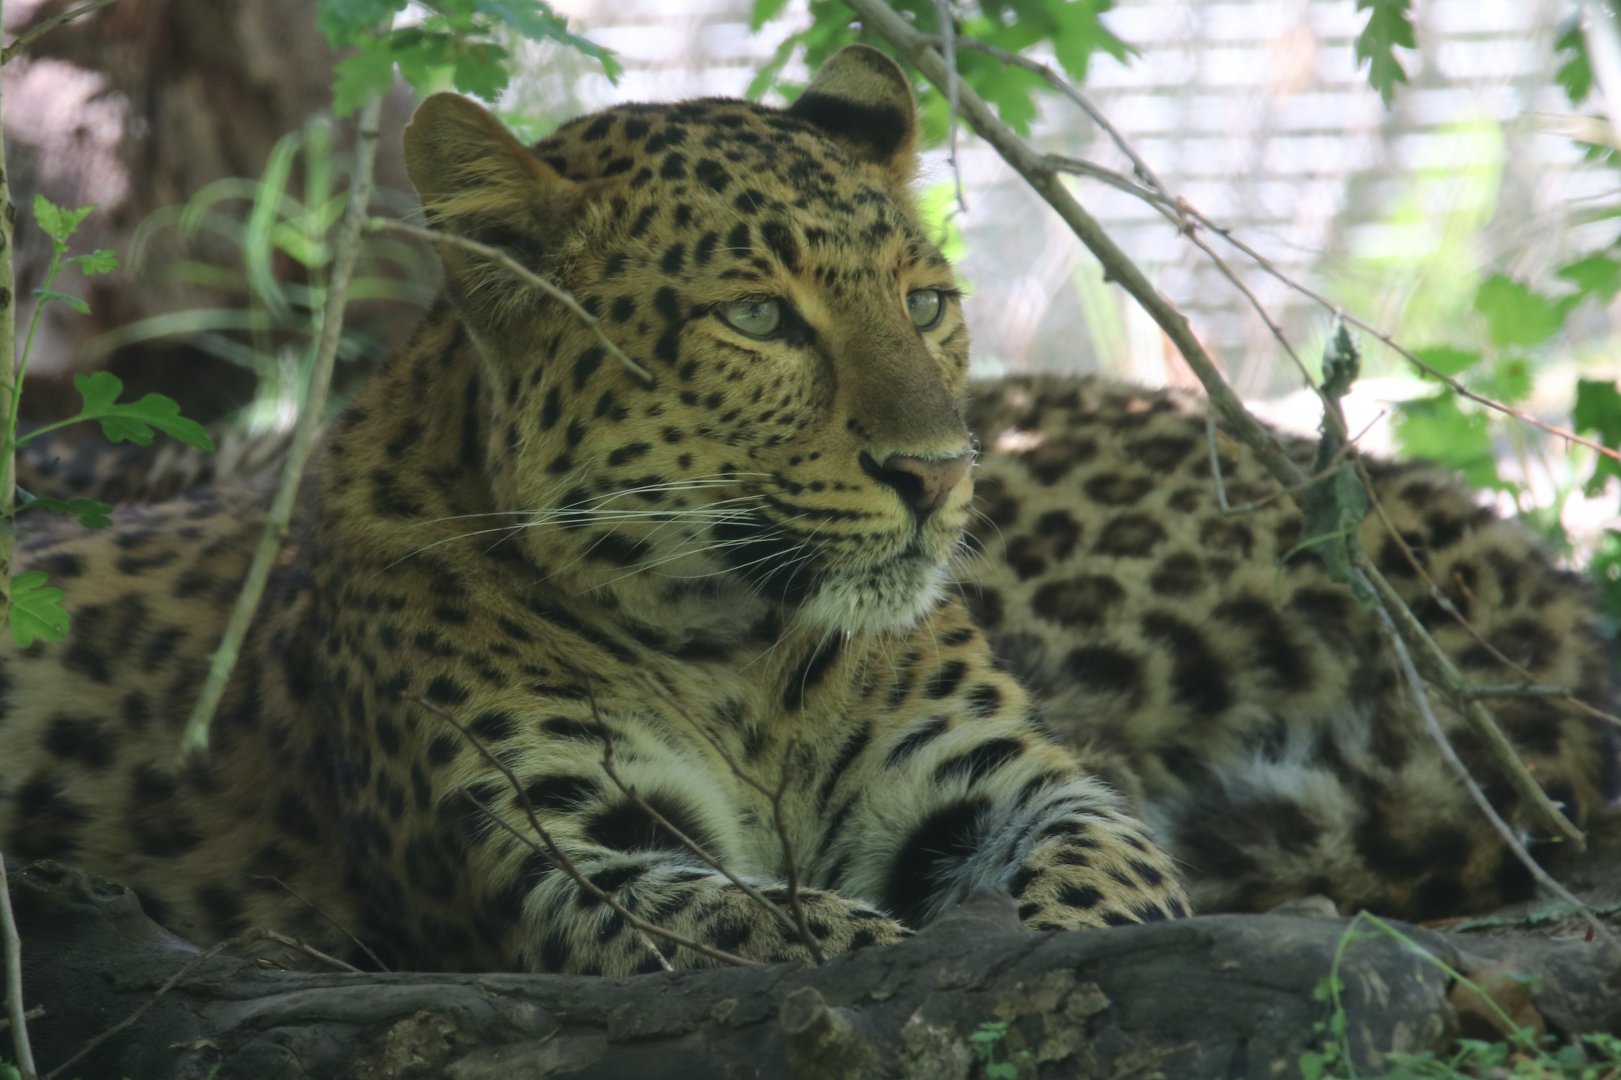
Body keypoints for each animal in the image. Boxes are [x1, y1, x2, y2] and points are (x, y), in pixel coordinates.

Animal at [0, 45, 1192, 977]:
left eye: (926, 303)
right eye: (757, 319)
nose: (939, 472)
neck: (745, 660)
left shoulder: (996, 778)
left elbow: (1111, 874)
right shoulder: (548, 842)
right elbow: (756, 929)